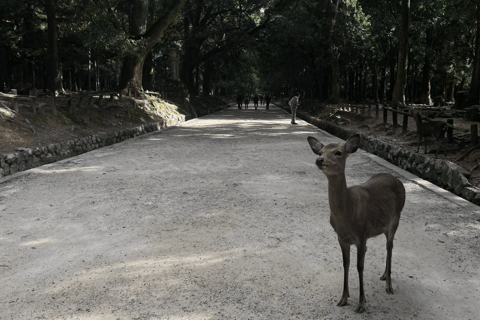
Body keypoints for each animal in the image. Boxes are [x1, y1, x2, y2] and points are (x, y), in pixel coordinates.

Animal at [308, 134, 404, 314]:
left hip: (396, 218)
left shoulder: (362, 235)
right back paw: (383, 275)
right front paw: (343, 298)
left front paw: (361, 304)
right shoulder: (341, 238)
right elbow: (345, 264)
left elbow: (360, 266)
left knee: (390, 246)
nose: (319, 160)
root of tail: (397, 179)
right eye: (320, 151)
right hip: (383, 225)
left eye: (338, 152)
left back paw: (389, 285)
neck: (347, 216)